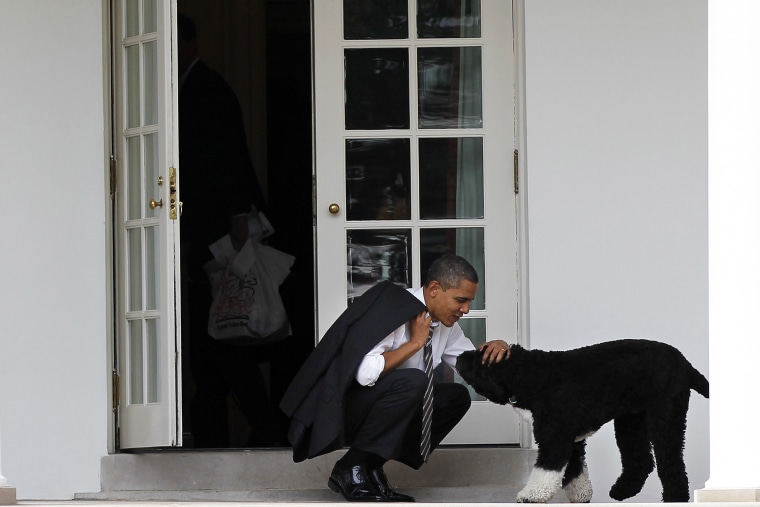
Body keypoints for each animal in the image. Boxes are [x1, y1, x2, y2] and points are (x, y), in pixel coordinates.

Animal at [454, 340, 708, 502]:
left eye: (479, 357)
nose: (458, 357)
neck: (530, 374)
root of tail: (685, 363)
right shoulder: (571, 440)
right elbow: (574, 471)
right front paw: (582, 495)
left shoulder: (555, 437)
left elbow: (546, 470)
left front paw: (531, 495)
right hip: (631, 421)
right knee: (640, 460)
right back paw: (622, 491)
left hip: (665, 416)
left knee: (672, 464)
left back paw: (675, 497)